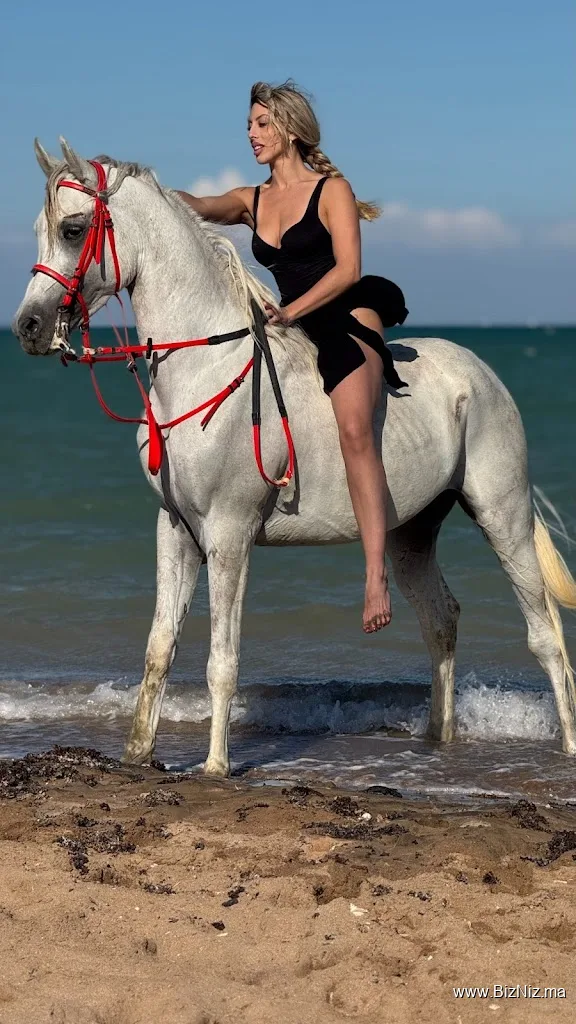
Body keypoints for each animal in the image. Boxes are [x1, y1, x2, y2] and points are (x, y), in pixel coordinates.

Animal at [12, 138, 576, 777]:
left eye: (74, 228)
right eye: (41, 229)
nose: (28, 326)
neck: (203, 367)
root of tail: (483, 374)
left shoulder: (228, 534)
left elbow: (222, 660)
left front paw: (215, 767)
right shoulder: (175, 529)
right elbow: (159, 649)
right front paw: (138, 756)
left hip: (502, 516)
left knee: (546, 635)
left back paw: (564, 747)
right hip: (411, 535)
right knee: (442, 620)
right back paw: (439, 739)